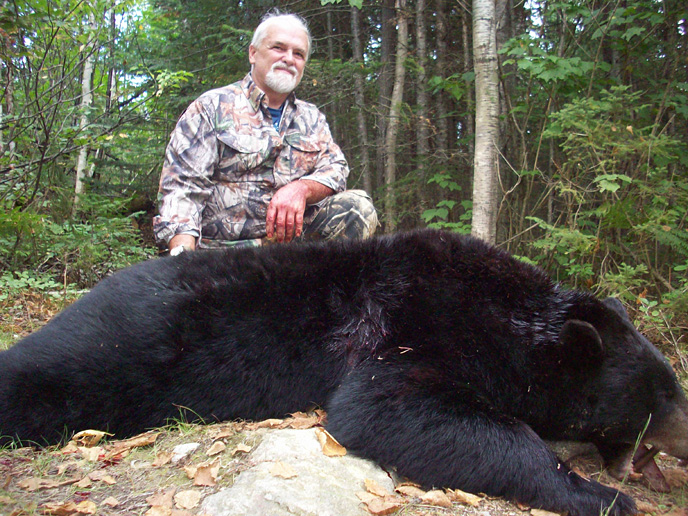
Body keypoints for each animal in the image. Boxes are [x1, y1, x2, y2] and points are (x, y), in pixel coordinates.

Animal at [1, 229, 687, 516]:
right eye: (663, 396)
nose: (685, 435)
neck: (502, 318)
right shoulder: (415, 317)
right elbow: (385, 409)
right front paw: (602, 494)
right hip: (120, 344)